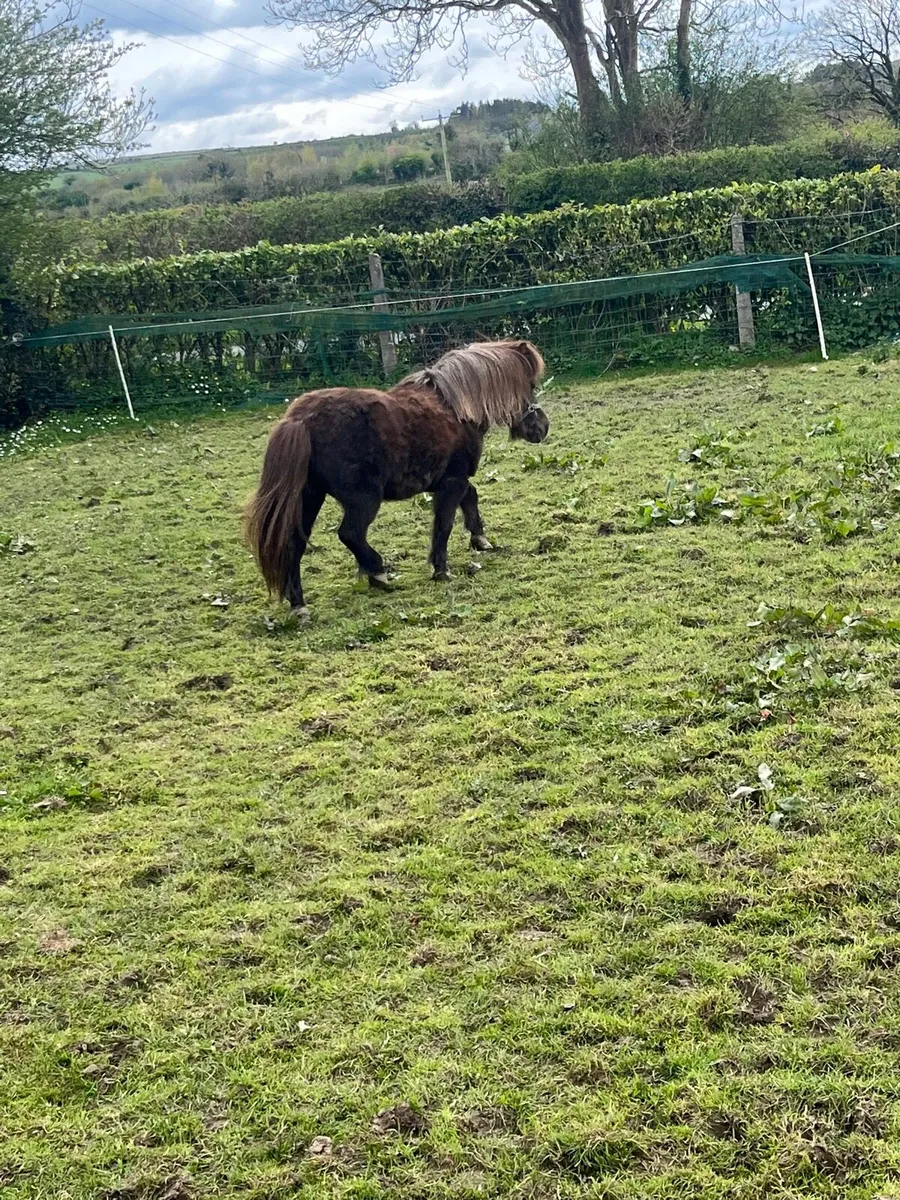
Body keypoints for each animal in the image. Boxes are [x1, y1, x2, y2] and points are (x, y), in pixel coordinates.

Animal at [244, 339, 549, 619]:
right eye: (530, 385)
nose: (542, 427)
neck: (456, 408)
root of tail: (299, 420)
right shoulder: (452, 481)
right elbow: (445, 523)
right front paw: (441, 569)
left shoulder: (452, 479)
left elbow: (470, 499)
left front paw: (480, 540)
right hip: (363, 499)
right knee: (350, 534)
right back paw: (378, 572)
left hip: (309, 496)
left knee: (294, 542)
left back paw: (299, 605)